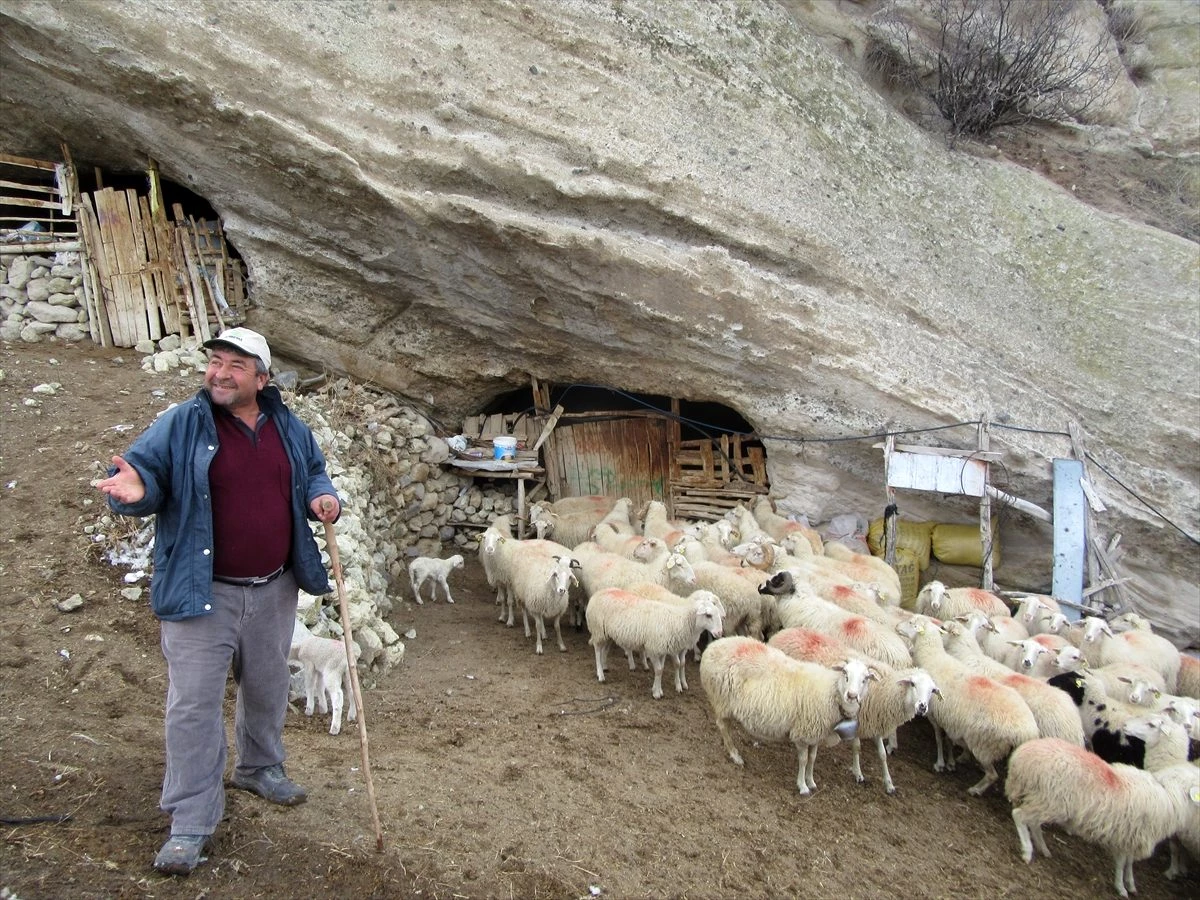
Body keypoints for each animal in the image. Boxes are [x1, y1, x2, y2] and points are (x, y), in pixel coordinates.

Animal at [583, 588, 715, 700]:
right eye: (708, 615)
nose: (718, 633)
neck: (677, 620)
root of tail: (599, 592)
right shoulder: (653, 649)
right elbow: (659, 669)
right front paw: (657, 694)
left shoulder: (662, 649)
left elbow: (661, 669)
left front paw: (658, 690)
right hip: (598, 629)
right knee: (597, 650)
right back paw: (600, 674)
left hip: (608, 634)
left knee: (605, 650)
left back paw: (604, 666)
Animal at [696, 633, 873, 796]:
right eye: (845, 674)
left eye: (865, 679)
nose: (851, 696)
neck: (830, 692)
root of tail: (713, 647)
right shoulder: (802, 733)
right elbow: (803, 760)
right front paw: (803, 786)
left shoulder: (816, 734)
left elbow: (813, 758)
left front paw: (811, 781)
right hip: (721, 701)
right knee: (722, 726)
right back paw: (735, 755)